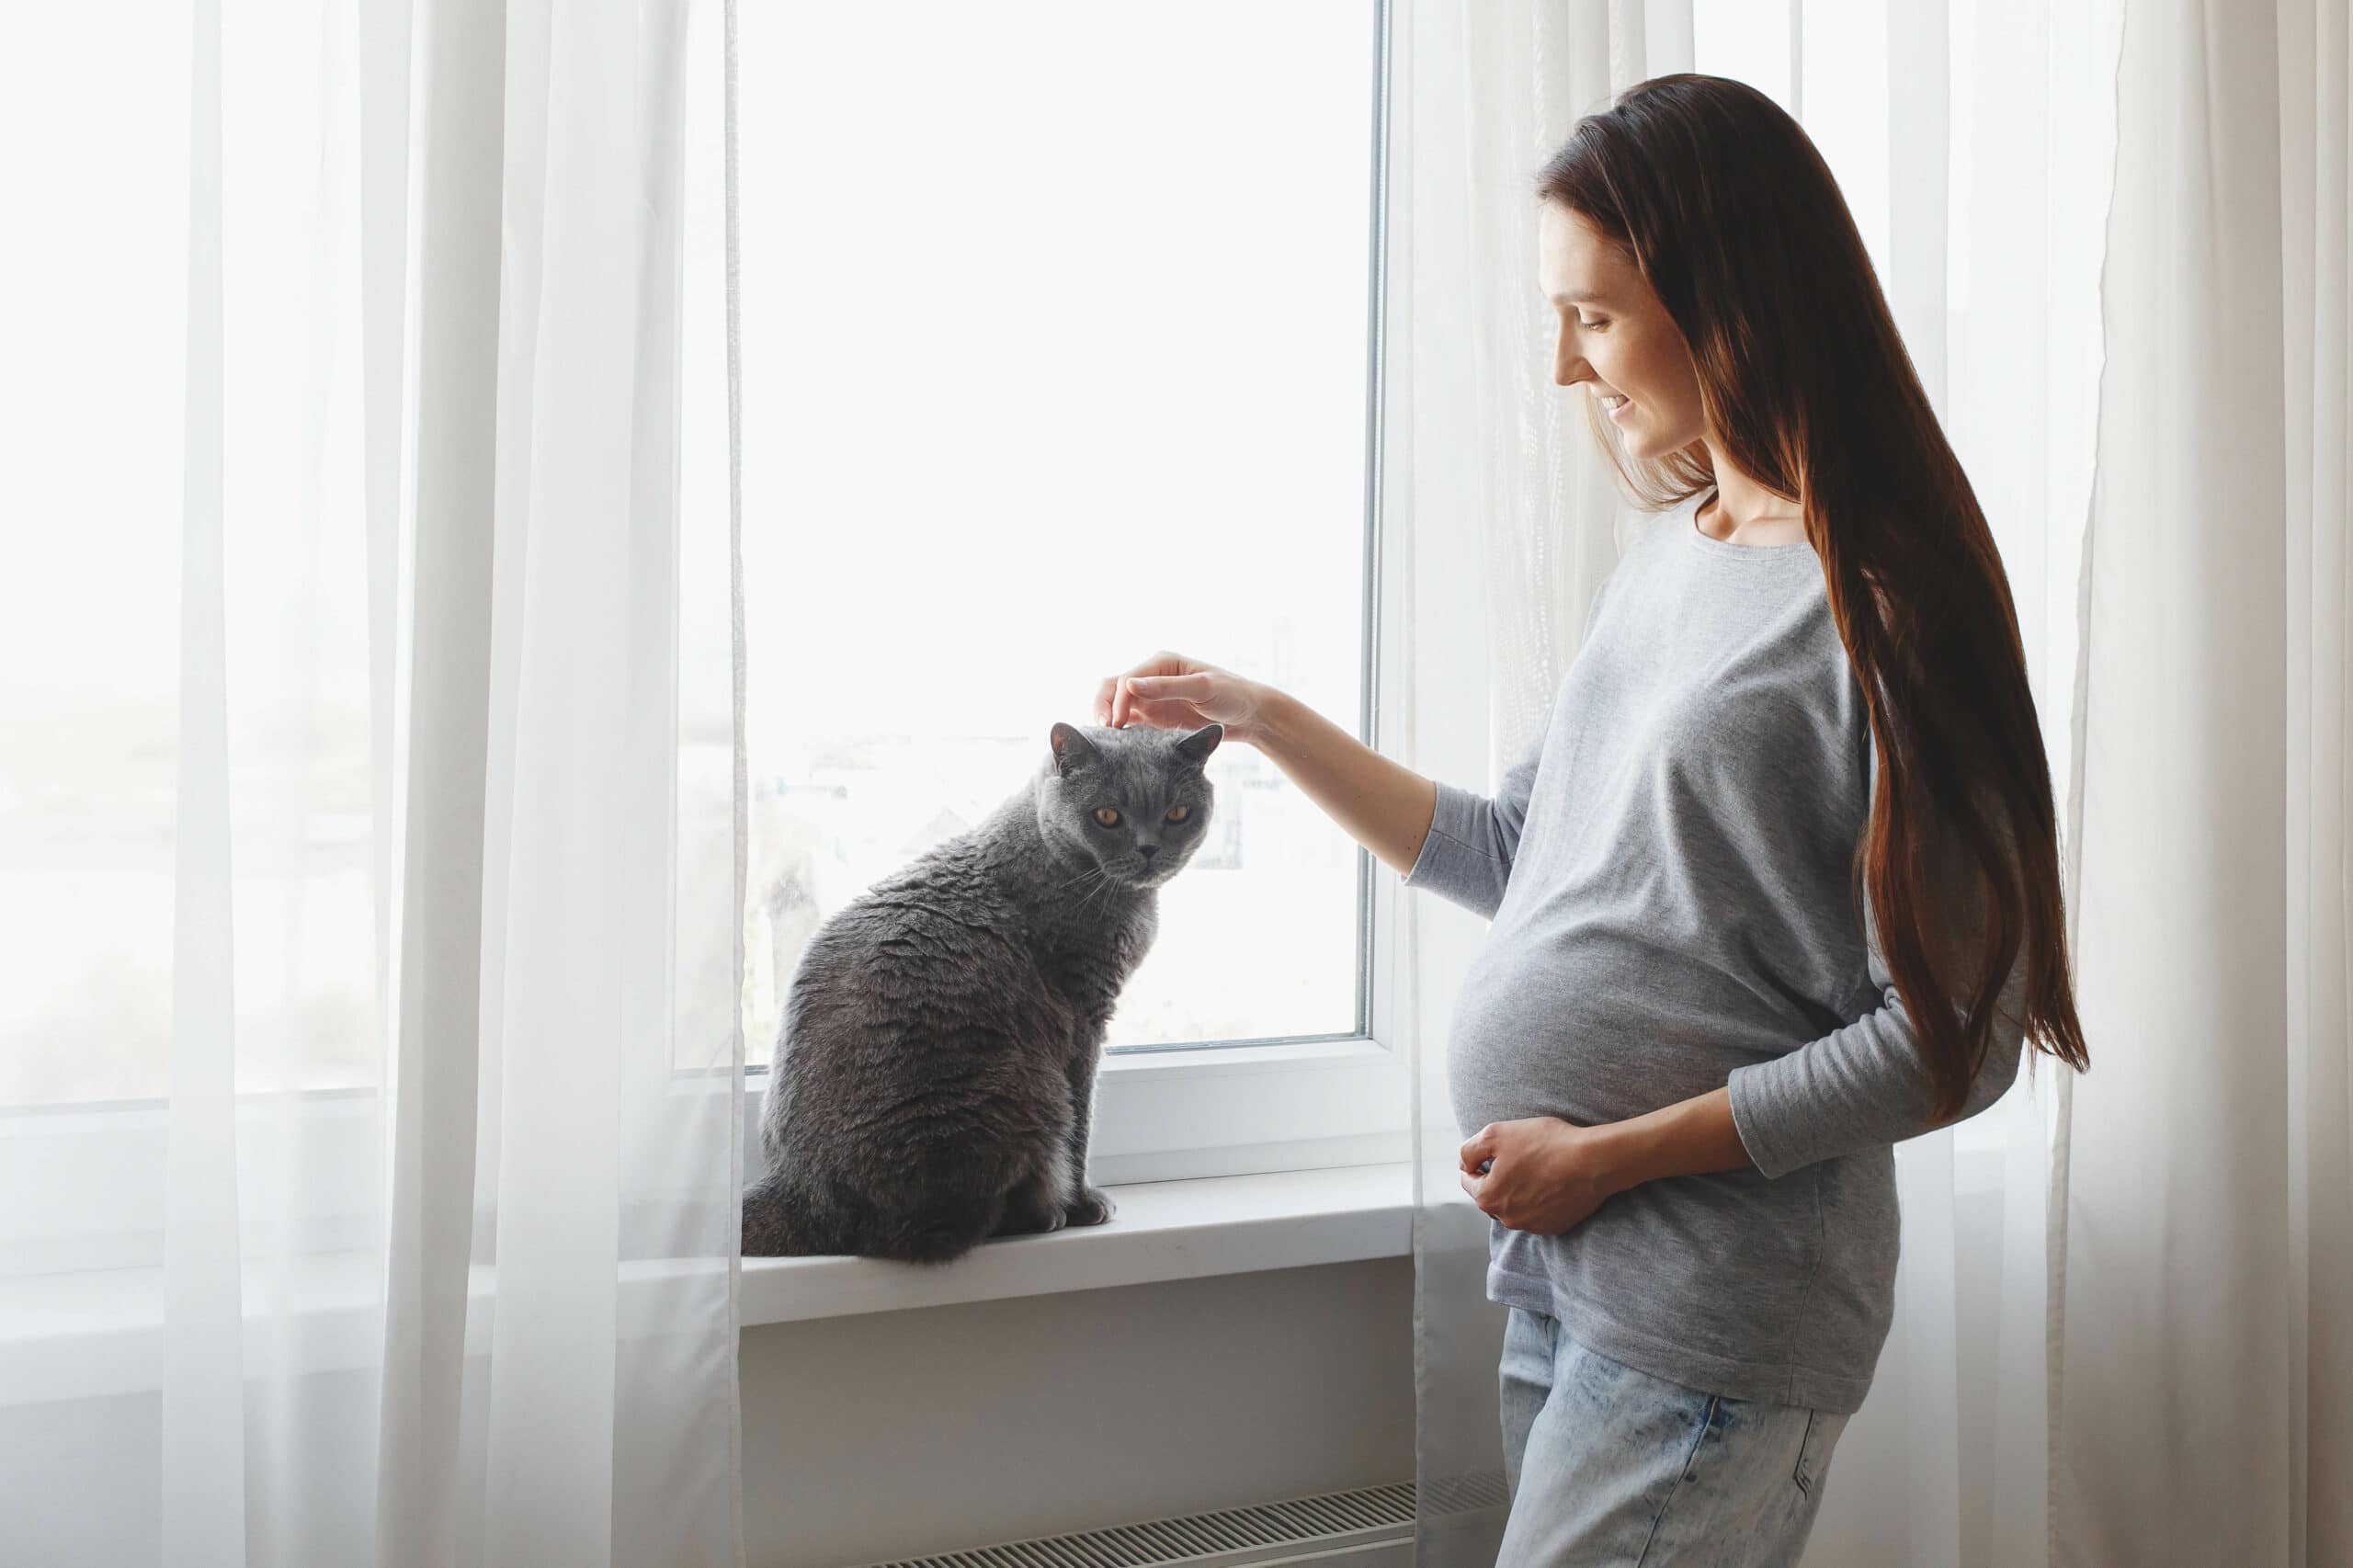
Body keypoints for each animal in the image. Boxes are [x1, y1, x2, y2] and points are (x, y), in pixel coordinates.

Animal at [748, 720, 1233, 1261]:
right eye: (1107, 815)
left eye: (1177, 814)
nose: (1148, 849)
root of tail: (794, 1188)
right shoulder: (1083, 1015)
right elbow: (1081, 1124)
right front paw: (1084, 1203)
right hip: (1023, 1094)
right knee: (931, 1229)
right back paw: (1044, 1213)